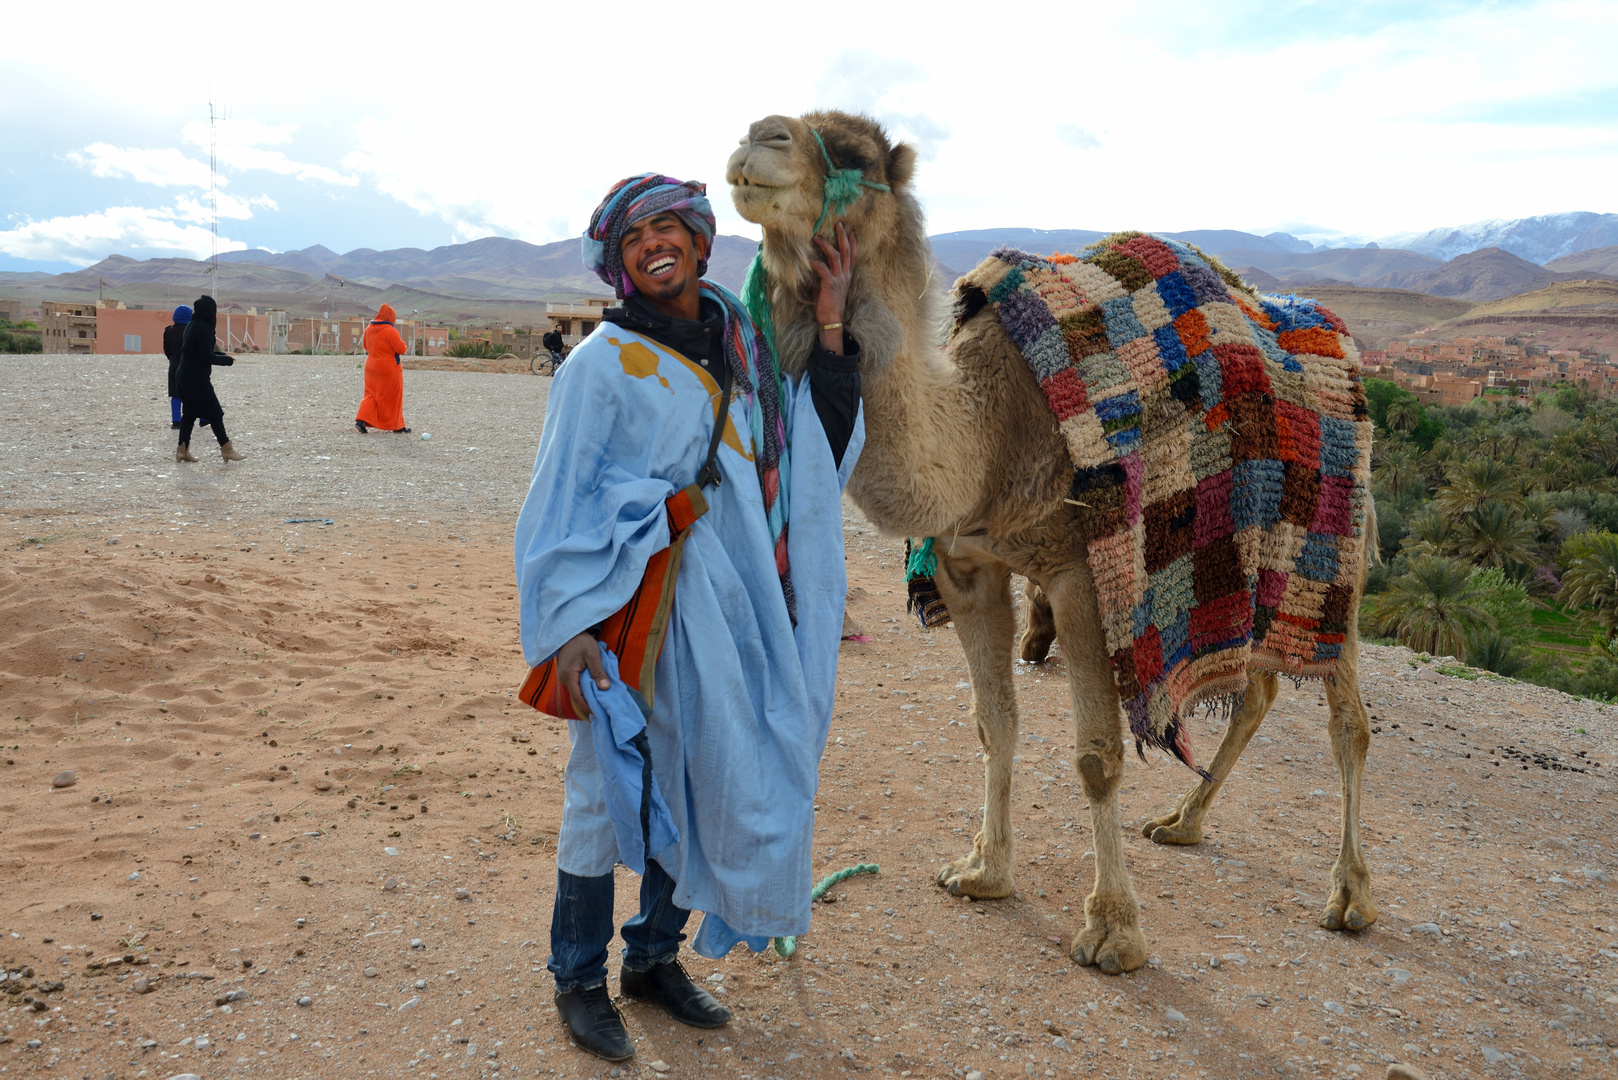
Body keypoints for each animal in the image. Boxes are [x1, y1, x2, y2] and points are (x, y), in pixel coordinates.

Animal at [734, 107, 1378, 971]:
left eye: (857, 154)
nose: (758, 137)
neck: (988, 436)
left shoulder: (1080, 577)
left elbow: (1096, 755)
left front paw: (1112, 929)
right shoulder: (968, 564)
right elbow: (992, 723)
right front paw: (981, 869)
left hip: (1337, 557)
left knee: (1348, 720)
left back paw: (1350, 895)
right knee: (1258, 689)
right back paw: (1183, 822)